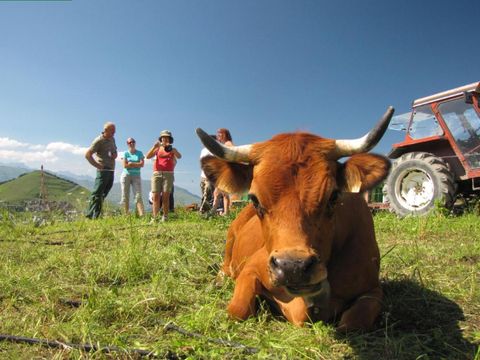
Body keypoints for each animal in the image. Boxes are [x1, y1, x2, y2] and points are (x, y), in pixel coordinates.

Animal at [196, 106, 394, 330]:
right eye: (255, 199)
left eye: (334, 196)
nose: (292, 267)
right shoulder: (251, 268)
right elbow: (237, 311)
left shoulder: (373, 288)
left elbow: (354, 321)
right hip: (231, 239)